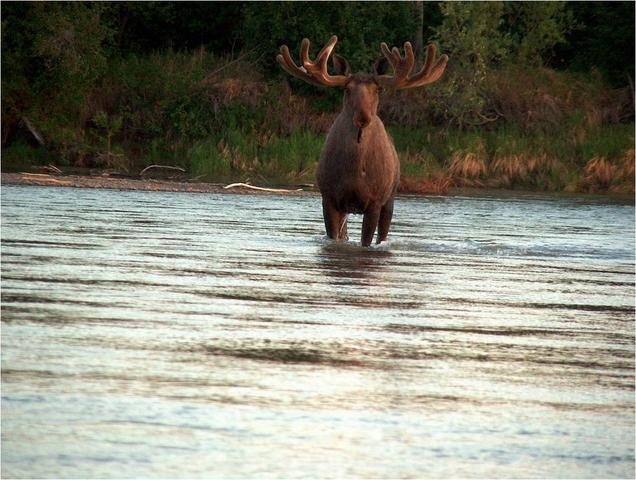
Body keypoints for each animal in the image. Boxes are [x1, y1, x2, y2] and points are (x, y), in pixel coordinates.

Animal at [278, 36, 448, 248]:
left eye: (378, 89)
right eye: (347, 89)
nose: (362, 117)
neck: (354, 170)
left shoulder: (375, 201)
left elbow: (366, 240)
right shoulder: (329, 198)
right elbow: (334, 236)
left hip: (390, 197)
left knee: (383, 233)